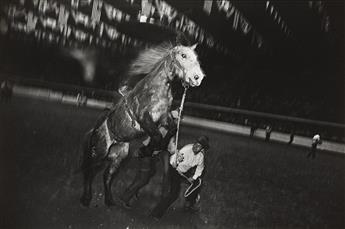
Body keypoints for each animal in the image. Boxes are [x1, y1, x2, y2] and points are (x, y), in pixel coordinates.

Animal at [80, 41, 204, 208]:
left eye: (196, 56)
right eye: (183, 55)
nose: (198, 77)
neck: (155, 90)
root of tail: (96, 129)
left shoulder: (164, 117)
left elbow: (171, 130)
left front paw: (154, 149)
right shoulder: (144, 118)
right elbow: (157, 135)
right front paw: (145, 150)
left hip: (119, 155)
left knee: (107, 175)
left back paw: (109, 200)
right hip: (100, 152)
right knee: (90, 171)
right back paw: (86, 199)